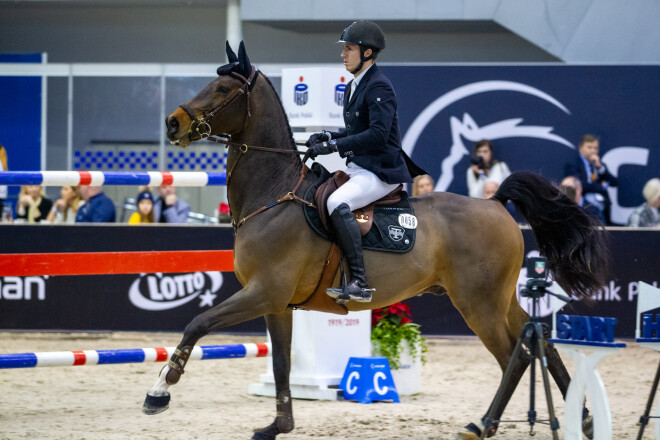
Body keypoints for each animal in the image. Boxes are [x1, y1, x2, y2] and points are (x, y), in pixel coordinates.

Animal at [143, 42, 608, 440]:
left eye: (223, 88)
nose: (173, 122)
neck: (272, 194)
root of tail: (495, 203)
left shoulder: (263, 292)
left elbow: (197, 323)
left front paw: (161, 390)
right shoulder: (276, 303)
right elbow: (280, 364)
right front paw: (278, 425)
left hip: (479, 304)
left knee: (518, 355)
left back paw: (483, 424)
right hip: (499, 299)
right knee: (540, 344)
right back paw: (582, 419)